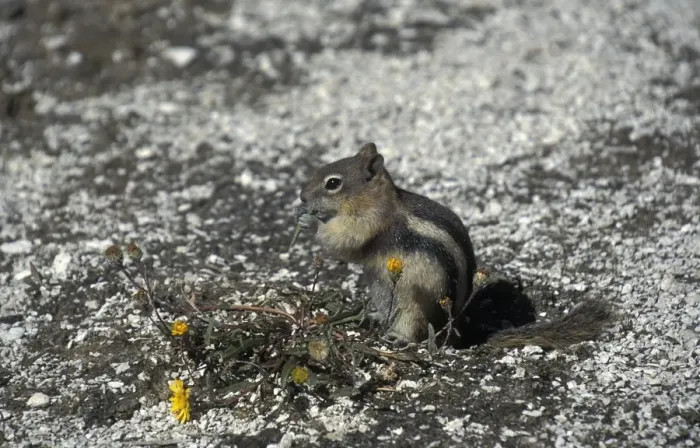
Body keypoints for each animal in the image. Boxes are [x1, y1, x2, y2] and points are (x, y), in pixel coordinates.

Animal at [294, 142, 613, 347]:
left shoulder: (368, 222)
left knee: (414, 327)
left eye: (332, 183)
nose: (301, 196)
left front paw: (311, 222)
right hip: (383, 290)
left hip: (414, 302)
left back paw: (398, 338)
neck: (379, 198)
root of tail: (457, 328)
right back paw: (371, 316)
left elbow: (344, 241)